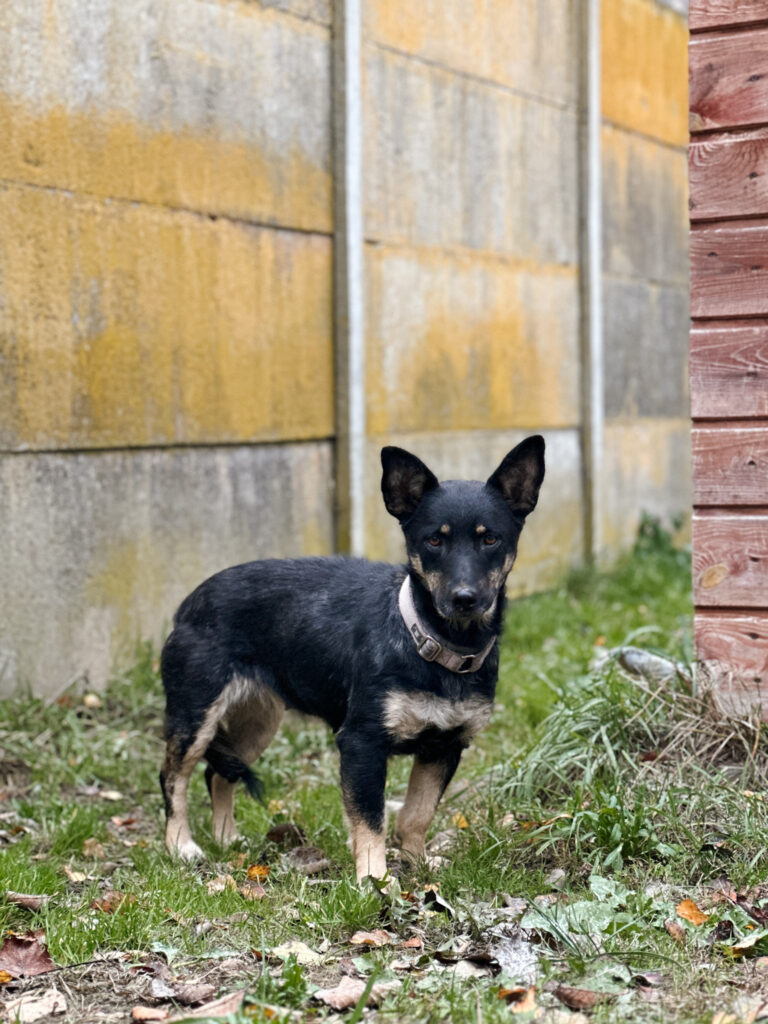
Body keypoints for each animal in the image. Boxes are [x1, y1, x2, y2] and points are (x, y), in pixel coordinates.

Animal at [159, 436, 545, 881]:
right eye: (434, 541)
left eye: (490, 539)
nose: (464, 598)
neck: (433, 641)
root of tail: (187, 603)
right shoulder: (362, 743)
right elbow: (371, 818)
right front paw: (374, 879)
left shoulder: (444, 746)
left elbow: (417, 813)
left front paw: (417, 862)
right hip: (196, 715)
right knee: (173, 776)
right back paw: (181, 846)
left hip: (257, 721)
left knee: (217, 773)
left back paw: (227, 839)